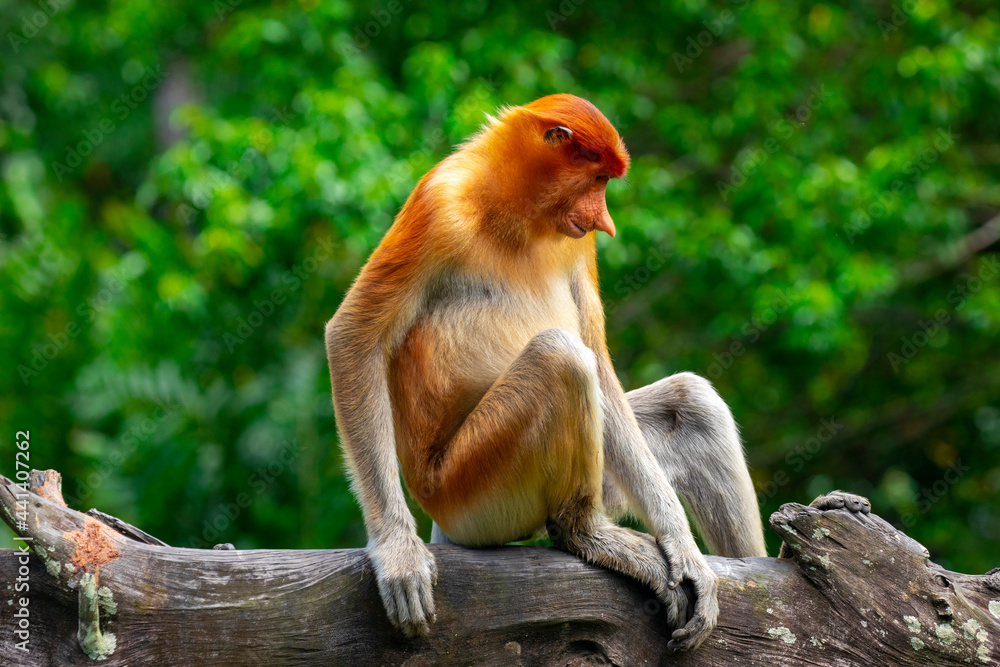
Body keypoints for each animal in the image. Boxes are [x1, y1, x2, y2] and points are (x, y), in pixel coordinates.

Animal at [326, 93, 768, 651]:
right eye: (597, 178)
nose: (606, 223)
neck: (515, 210)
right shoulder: (438, 205)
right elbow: (354, 336)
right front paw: (398, 558)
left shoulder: (578, 245)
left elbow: (603, 368)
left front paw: (687, 557)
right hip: (471, 496)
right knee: (561, 358)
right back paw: (587, 534)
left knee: (689, 402)